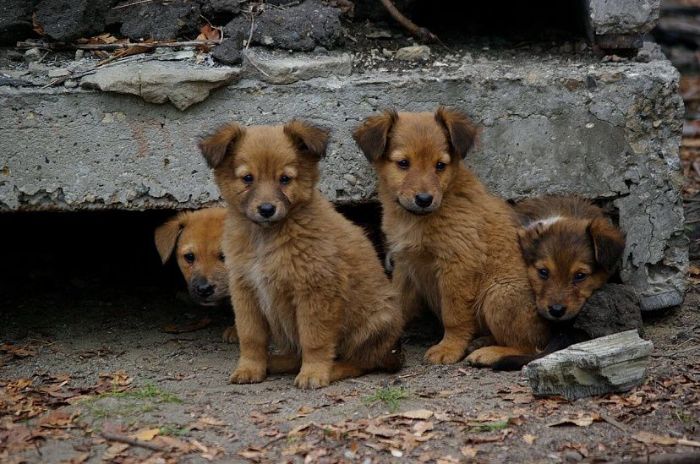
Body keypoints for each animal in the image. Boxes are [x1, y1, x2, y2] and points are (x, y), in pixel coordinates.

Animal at [197, 118, 404, 388]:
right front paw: (249, 368)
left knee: (363, 361)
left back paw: (333, 369)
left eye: (285, 179)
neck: (267, 237)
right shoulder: (245, 290)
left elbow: (313, 339)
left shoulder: (314, 291)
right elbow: (250, 337)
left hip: (375, 322)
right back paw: (276, 362)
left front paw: (314, 373)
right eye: (247, 178)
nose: (266, 209)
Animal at [352, 107, 548, 368]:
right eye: (403, 163)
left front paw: (449, 348)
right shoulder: (405, 265)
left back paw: (488, 352)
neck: (418, 219)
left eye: (440, 165)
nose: (424, 199)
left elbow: (454, 315)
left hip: (499, 294)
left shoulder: (458, 264)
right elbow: (398, 301)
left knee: (530, 347)